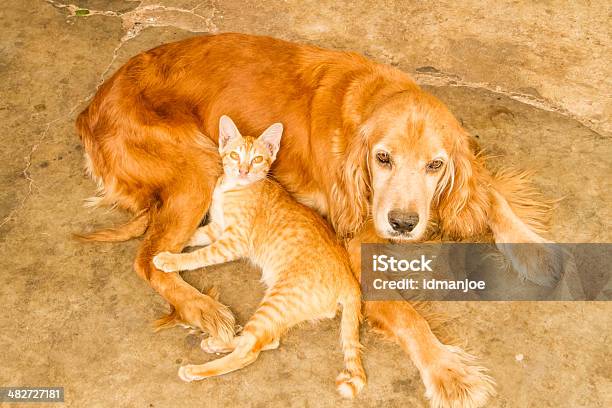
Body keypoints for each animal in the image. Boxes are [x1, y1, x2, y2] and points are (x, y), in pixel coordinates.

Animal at [153, 115, 366, 398]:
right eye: (234, 155)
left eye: (257, 159)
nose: (243, 171)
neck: (232, 188)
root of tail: (350, 278)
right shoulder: (216, 228)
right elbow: (191, 235)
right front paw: (161, 242)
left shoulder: (232, 241)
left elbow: (201, 255)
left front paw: (169, 259)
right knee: (267, 340)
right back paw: (221, 342)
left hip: (278, 301)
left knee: (250, 350)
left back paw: (198, 369)